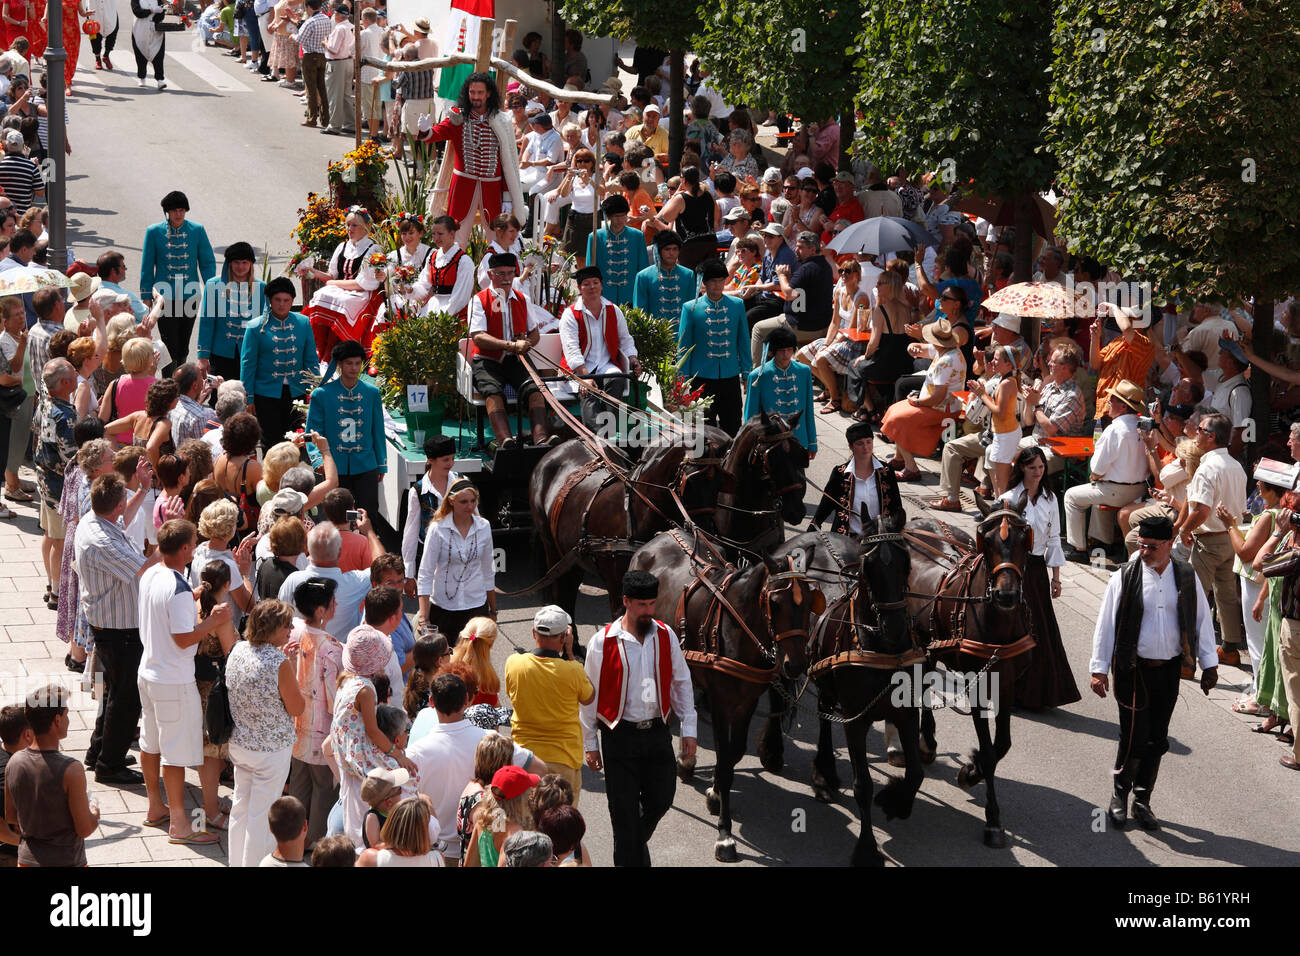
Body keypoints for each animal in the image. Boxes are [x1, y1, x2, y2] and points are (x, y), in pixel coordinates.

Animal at [629, 528, 821, 863]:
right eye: (775, 601)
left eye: (810, 600)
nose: (795, 664)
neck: (738, 628)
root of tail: (662, 534)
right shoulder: (721, 702)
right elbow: (724, 759)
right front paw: (725, 834)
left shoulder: (747, 701)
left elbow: (733, 754)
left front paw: (715, 793)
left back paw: (685, 759)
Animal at [904, 496, 1034, 848]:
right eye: (986, 540)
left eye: (1024, 538)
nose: (1006, 595)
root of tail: (916, 523)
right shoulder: (977, 685)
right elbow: (990, 752)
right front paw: (993, 819)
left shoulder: (1006, 683)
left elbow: (1002, 745)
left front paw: (971, 771)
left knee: (924, 684)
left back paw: (927, 742)